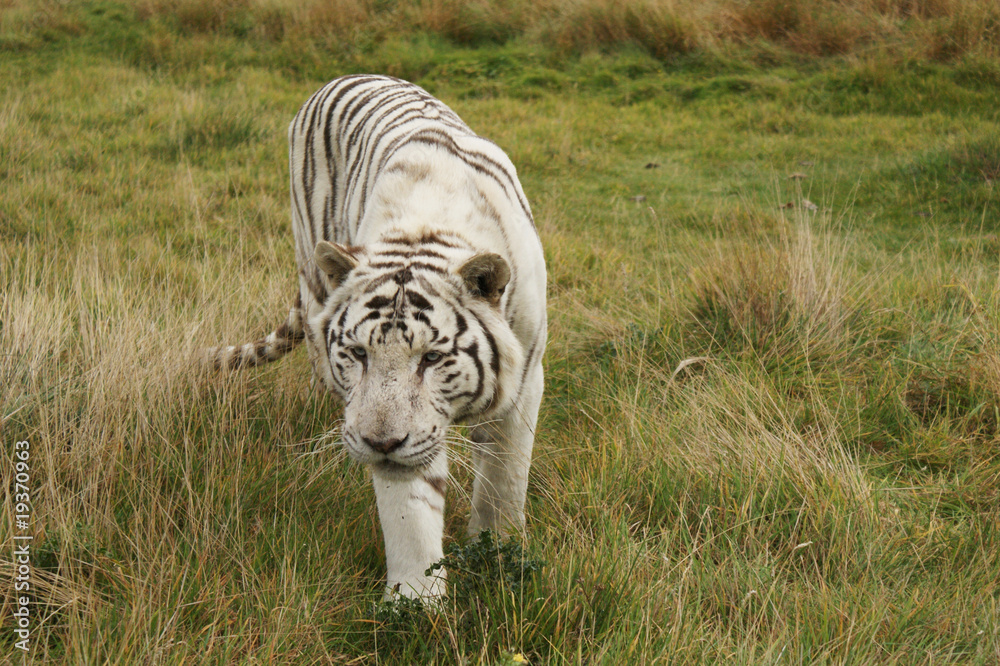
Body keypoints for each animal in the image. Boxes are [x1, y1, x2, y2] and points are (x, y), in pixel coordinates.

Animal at [207, 75, 546, 599]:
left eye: (431, 359)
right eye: (358, 353)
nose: (379, 442)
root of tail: (345, 76)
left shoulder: (526, 379)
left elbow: (505, 479)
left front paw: (499, 555)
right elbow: (411, 511)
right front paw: (414, 602)